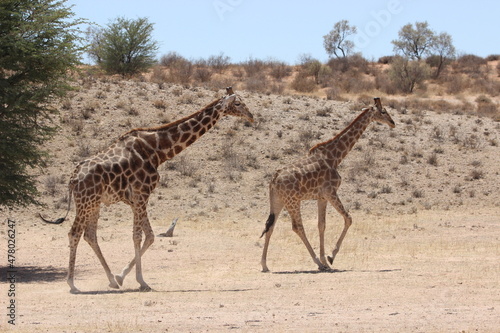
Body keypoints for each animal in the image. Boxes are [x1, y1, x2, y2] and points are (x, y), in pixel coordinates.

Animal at [41, 87, 254, 292]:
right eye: (237, 103)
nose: (251, 115)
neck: (157, 151)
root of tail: (73, 178)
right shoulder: (142, 193)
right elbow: (138, 236)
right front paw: (141, 281)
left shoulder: (135, 199)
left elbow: (150, 236)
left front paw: (121, 277)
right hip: (86, 202)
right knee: (75, 233)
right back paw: (72, 283)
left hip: (94, 203)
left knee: (90, 235)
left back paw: (111, 280)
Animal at [258, 97, 394, 272]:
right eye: (383, 111)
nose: (392, 123)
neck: (335, 157)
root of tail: (273, 180)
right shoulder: (331, 192)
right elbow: (348, 219)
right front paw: (330, 257)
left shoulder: (321, 197)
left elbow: (321, 225)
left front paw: (326, 259)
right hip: (292, 201)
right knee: (297, 227)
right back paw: (317, 263)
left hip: (278, 201)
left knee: (270, 226)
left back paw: (265, 265)